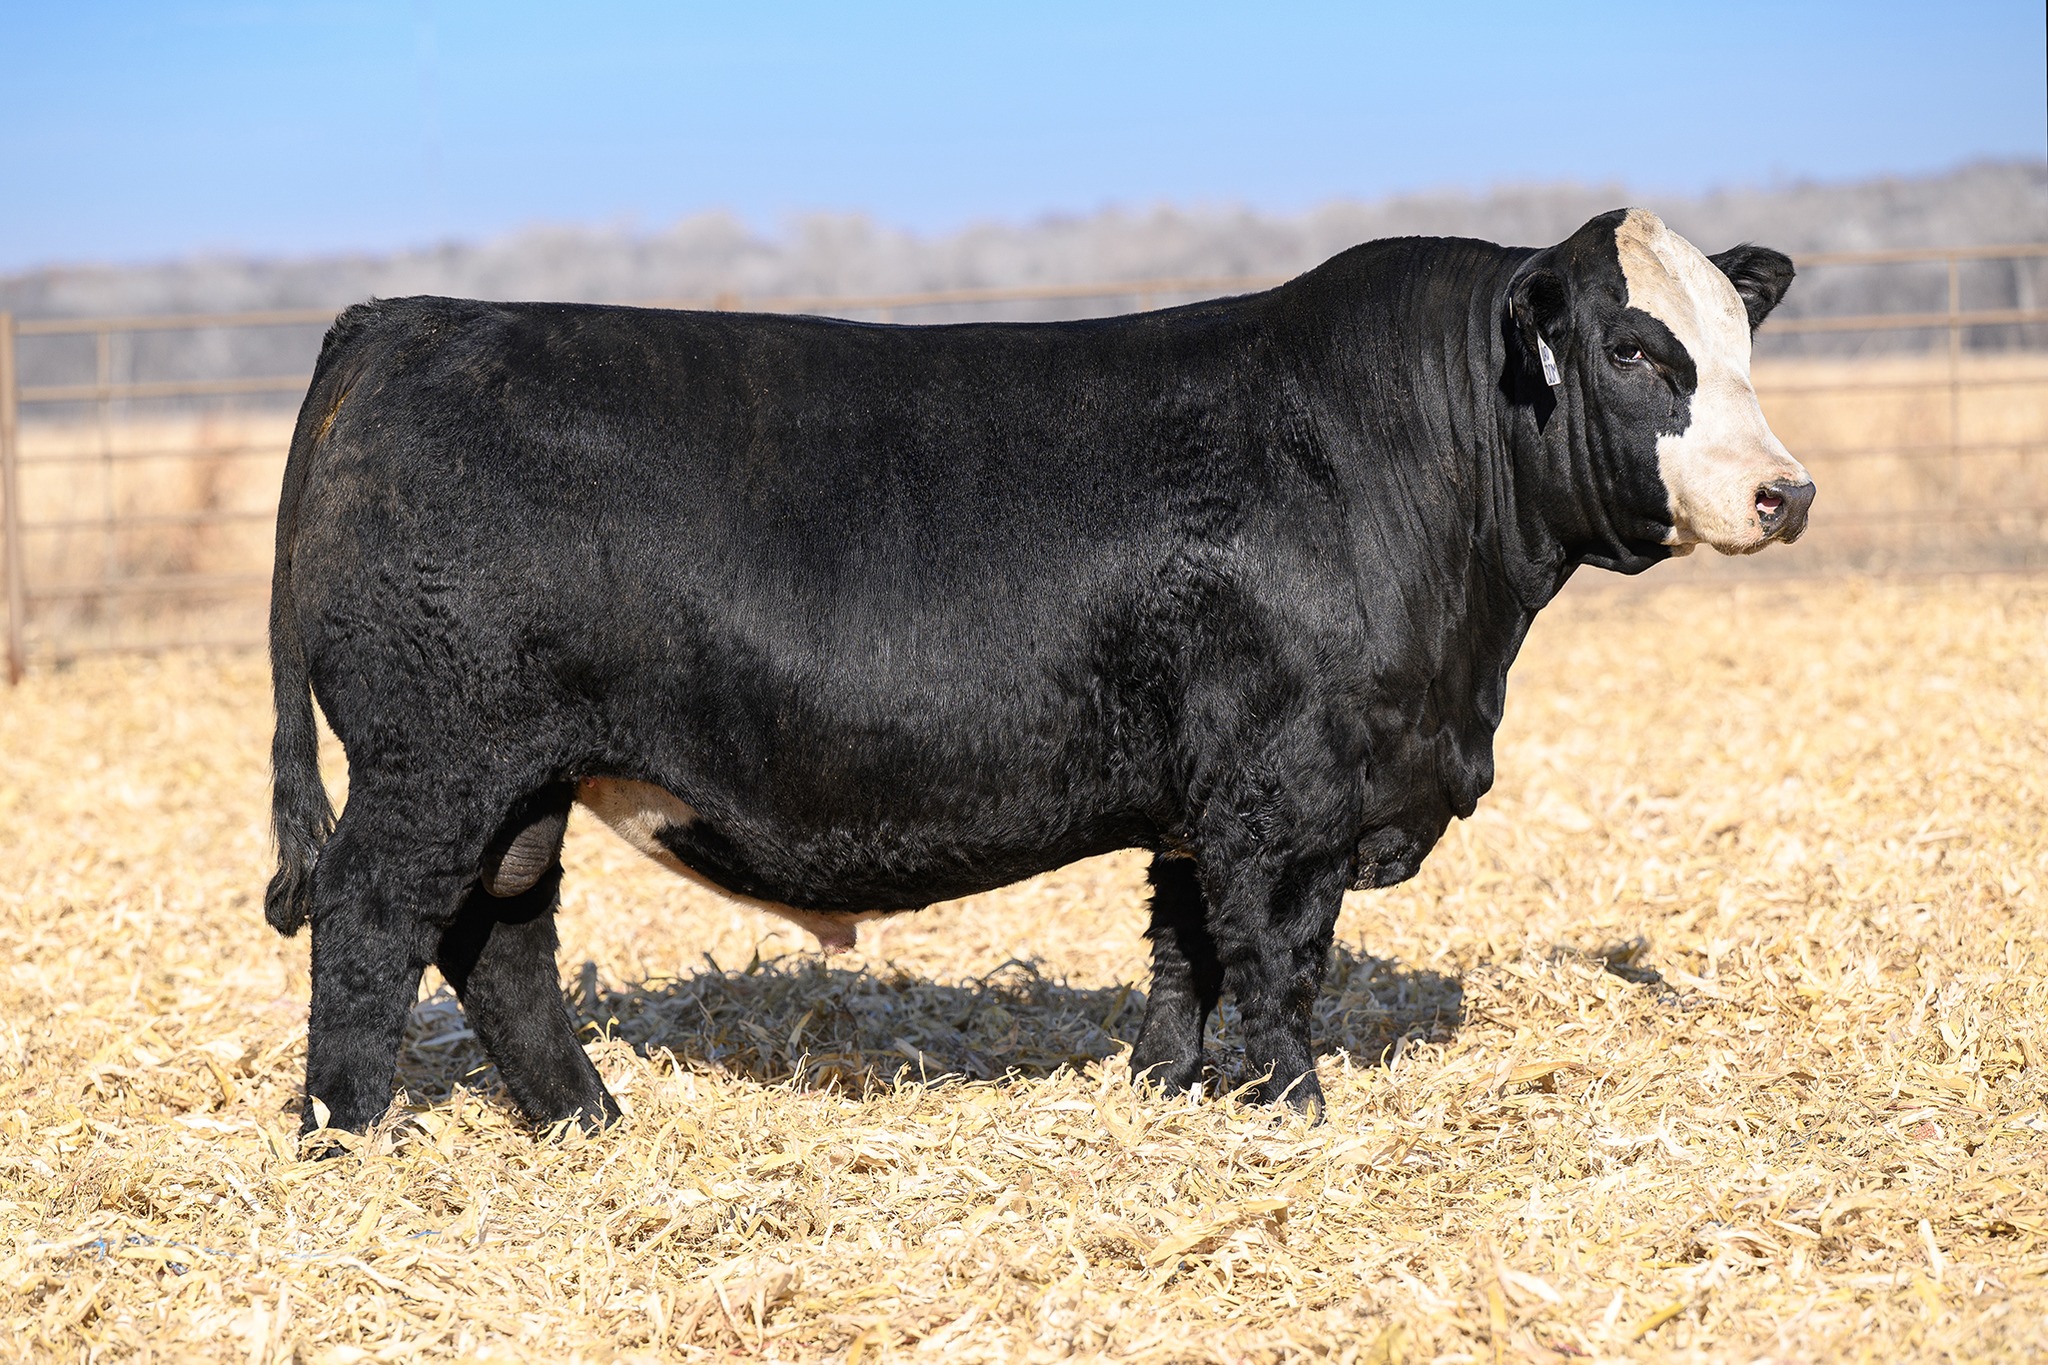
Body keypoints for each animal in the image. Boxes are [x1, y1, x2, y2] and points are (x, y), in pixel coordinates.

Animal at [264, 208, 1812, 1141]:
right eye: (1633, 349)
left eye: (1741, 342)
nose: (1784, 492)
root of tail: (401, 317)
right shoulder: (1284, 794)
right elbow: (1276, 957)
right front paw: (1292, 1111)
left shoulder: (1201, 796)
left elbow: (1185, 956)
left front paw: (1170, 1093)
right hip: (435, 759)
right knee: (372, 920)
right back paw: (351, 1133)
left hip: (519, 776)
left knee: (499, 936)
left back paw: (587, 1120)